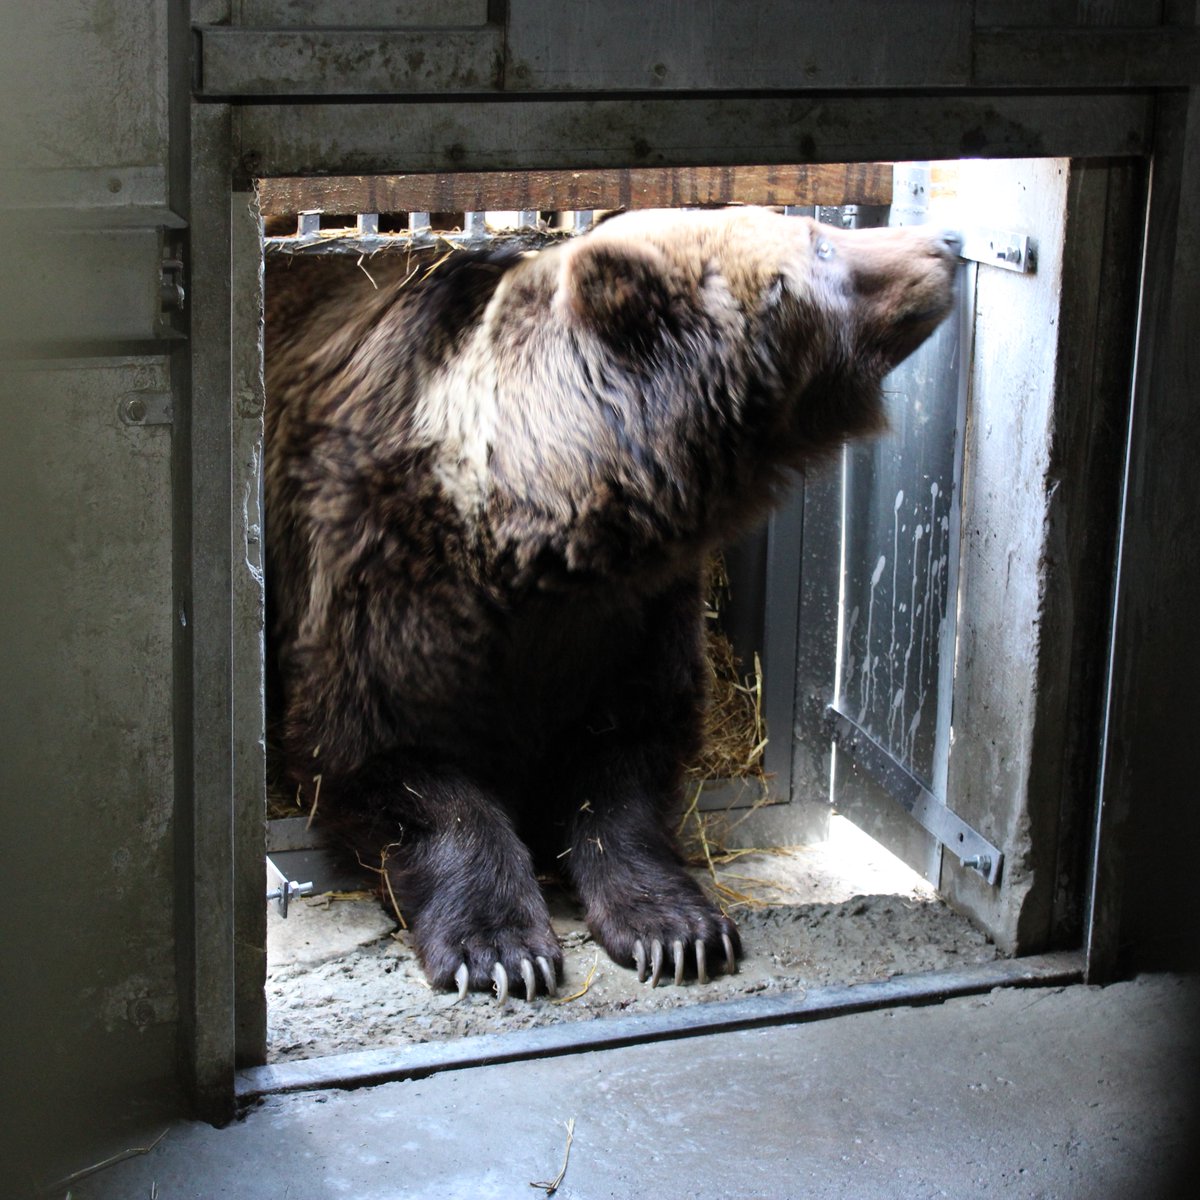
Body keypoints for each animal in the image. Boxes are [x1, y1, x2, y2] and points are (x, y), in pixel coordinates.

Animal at [264, 206, 961, 1001]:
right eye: (819, 243)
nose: (944, 244)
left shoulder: (631, 621)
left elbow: (626, 766)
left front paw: (678, 931)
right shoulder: (382, 595)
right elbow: (397, 769)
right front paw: (499, 949)